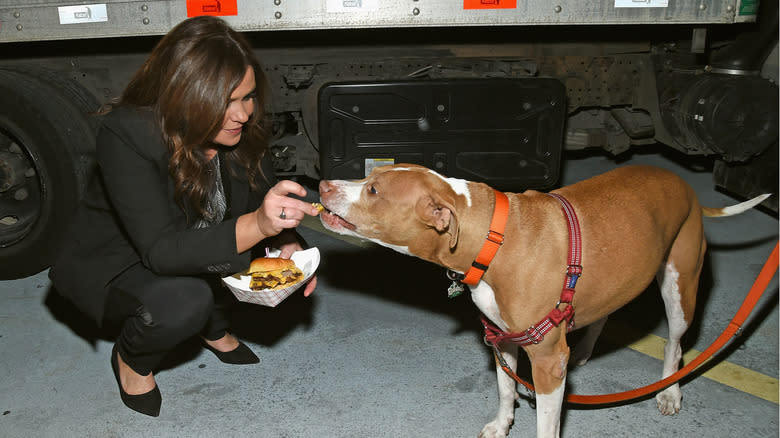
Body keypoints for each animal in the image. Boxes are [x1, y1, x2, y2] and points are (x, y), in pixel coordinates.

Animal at [316, 163, 768, 436]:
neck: (493, 237)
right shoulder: (503, 338)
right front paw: (502, 423)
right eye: (371, 174)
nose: (322, 185)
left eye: (373, 190)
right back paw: (585, 349)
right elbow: (504, 388)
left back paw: (670, 391)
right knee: (605, 314)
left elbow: (547, 425)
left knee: (675, 345)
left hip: (680, 284)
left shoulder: (548, 361)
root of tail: (684, 185)